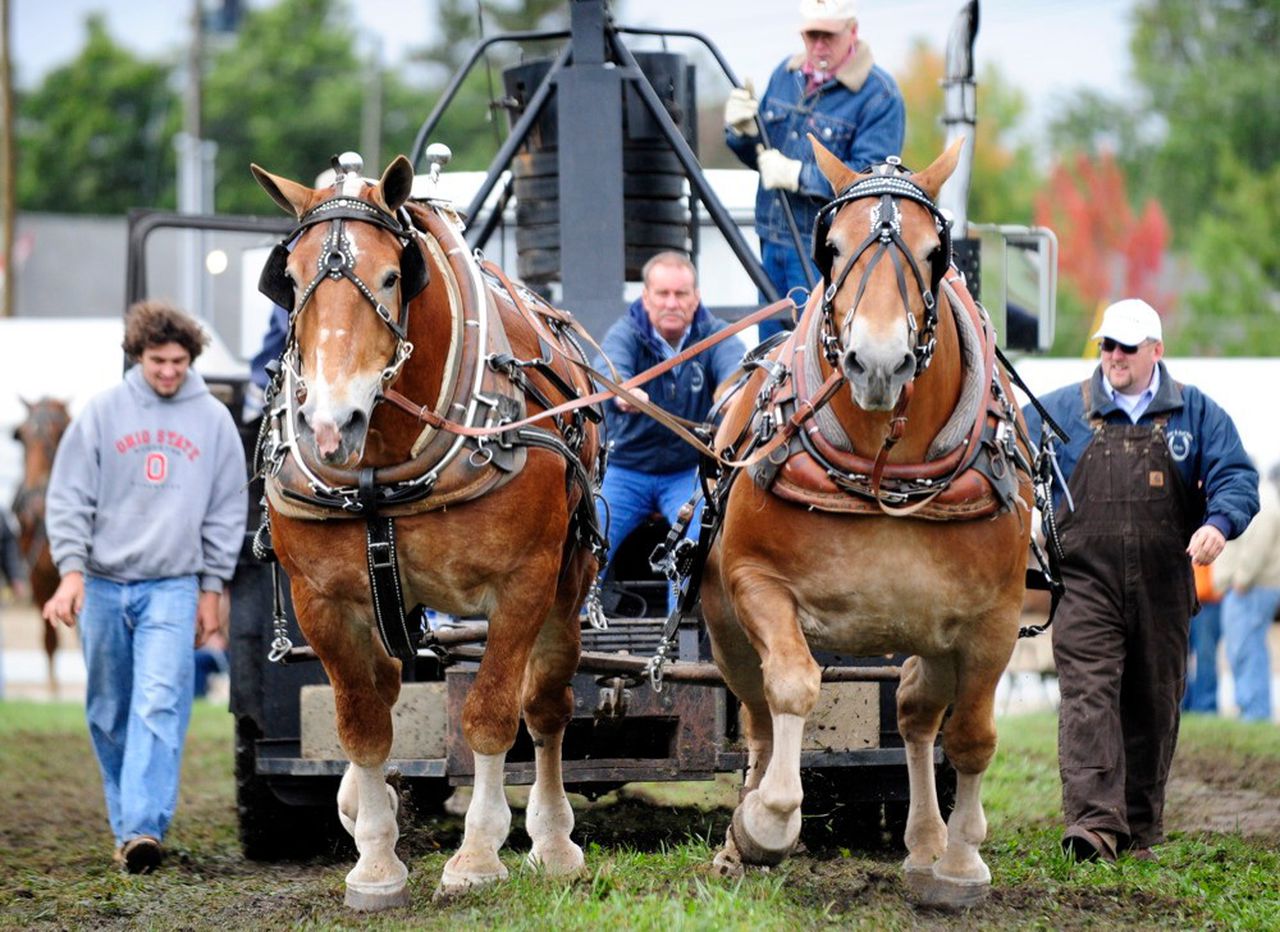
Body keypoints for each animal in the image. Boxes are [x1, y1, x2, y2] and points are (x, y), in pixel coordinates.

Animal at [253, 154, 604, 911]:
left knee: (548, 706)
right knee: (385, 691)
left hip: (568, 585)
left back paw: (553, 841)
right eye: (287, 279)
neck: (381, 465)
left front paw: (478, 857)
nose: (330, 427)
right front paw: (376, 861)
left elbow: (491, 714)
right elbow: (361, 722)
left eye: (392, 276)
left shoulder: (521, 583)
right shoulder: (321, 601)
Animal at [706, 142, 1034, 906]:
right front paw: (768, 820)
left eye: (936, 253)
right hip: (725, 626)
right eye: (831, 248)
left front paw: (961, 863)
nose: (877, 362)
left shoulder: (995, 617)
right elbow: (792, 684)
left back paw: (925, 844)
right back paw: (743, 835)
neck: (886, 472)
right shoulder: (756, 581)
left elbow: (972, 736)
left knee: (915, 712)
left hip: (934, 631)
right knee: (756, 717)